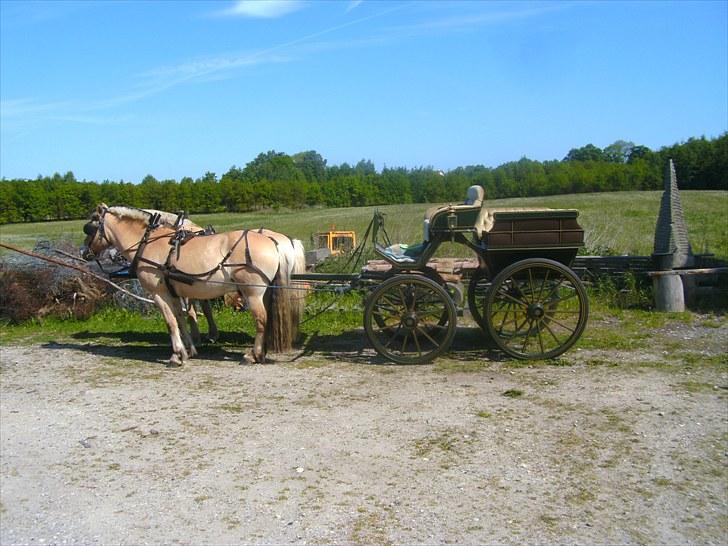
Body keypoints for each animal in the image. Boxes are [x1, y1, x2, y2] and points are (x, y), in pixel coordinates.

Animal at [82, 204, 302, 366]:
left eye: (90, 226)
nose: (84, 253)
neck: (147, 242)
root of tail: (272, 240)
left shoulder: (159, 293)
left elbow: (170, 322)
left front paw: (177, 356)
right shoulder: (174, 292)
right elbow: (181, 318)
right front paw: (188, 350)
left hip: (253, 293)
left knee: (261, 320)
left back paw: (253, 355)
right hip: (265, 292)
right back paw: (261, 353)